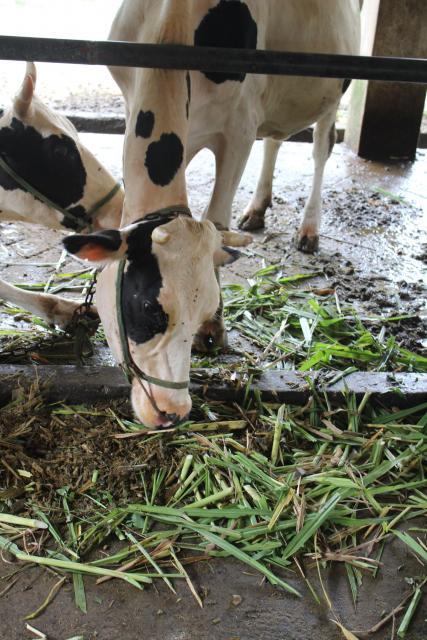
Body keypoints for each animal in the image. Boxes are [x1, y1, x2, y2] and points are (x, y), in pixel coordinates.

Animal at [65, 1, 362, 430]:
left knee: (322, 145)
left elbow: (217, 220)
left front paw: (215, 328)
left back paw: (309, 228)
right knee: (275, 139)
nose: (174, 411)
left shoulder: (238, 127)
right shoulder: (135, 102)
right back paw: (257, 209)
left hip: (333, 91)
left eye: (205, 308)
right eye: (151, 307)